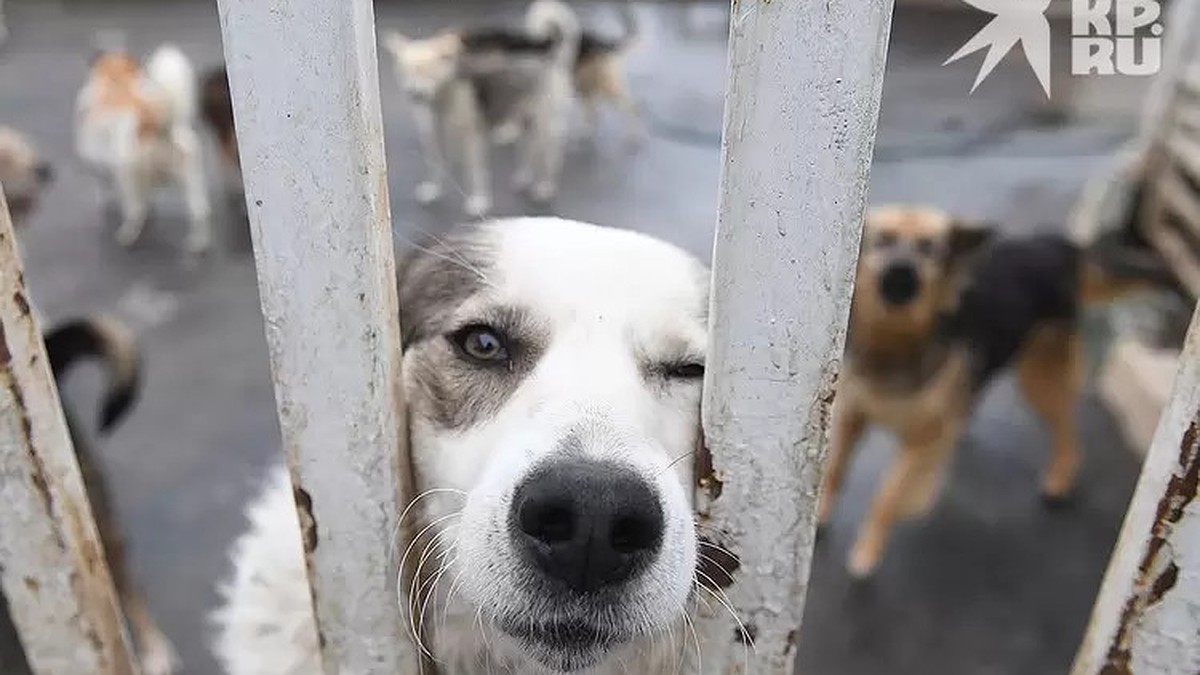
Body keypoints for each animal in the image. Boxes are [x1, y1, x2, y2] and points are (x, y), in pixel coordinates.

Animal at [75, 42, 211, 252]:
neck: (117, 80)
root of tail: (157, 128)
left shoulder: (100, 166)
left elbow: (103, 185)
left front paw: (106, 203)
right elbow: (149, 196)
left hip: (127, 176)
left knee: (135, 211)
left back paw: (127, 237)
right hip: (190, 175)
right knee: (198, 209)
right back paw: (198, 243)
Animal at [820, 201, 1166, 576]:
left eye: (930, 249)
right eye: (882, 240)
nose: (902, 272)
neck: (895, 341)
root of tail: (1057, 246)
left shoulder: (922, 444)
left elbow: (888, 497)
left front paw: (867, 549)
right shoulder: (851, 415)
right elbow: (835, 468)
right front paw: (819, 513)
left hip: (1039, 377)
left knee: (1065, 427)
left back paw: (1060, 478)